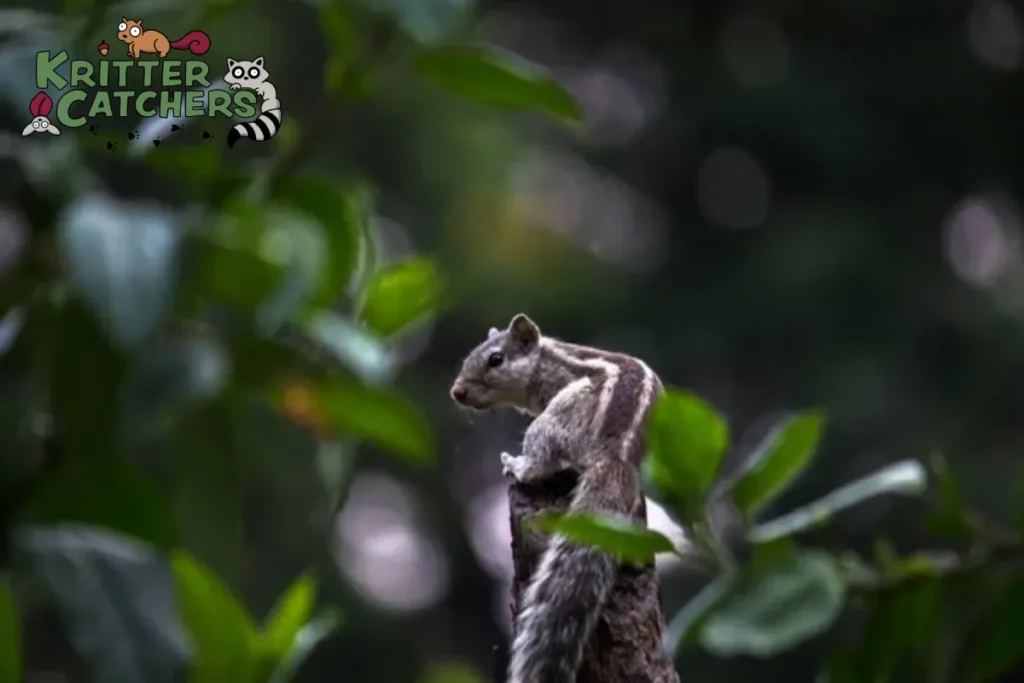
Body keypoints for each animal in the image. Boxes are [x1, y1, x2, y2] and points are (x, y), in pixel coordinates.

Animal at [450, 313, 661, 683]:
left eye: (496, 359)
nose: (457, 391)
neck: (542, 360)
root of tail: (618, 453)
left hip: (560, 416)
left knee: (542, 459)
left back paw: (519, 466)